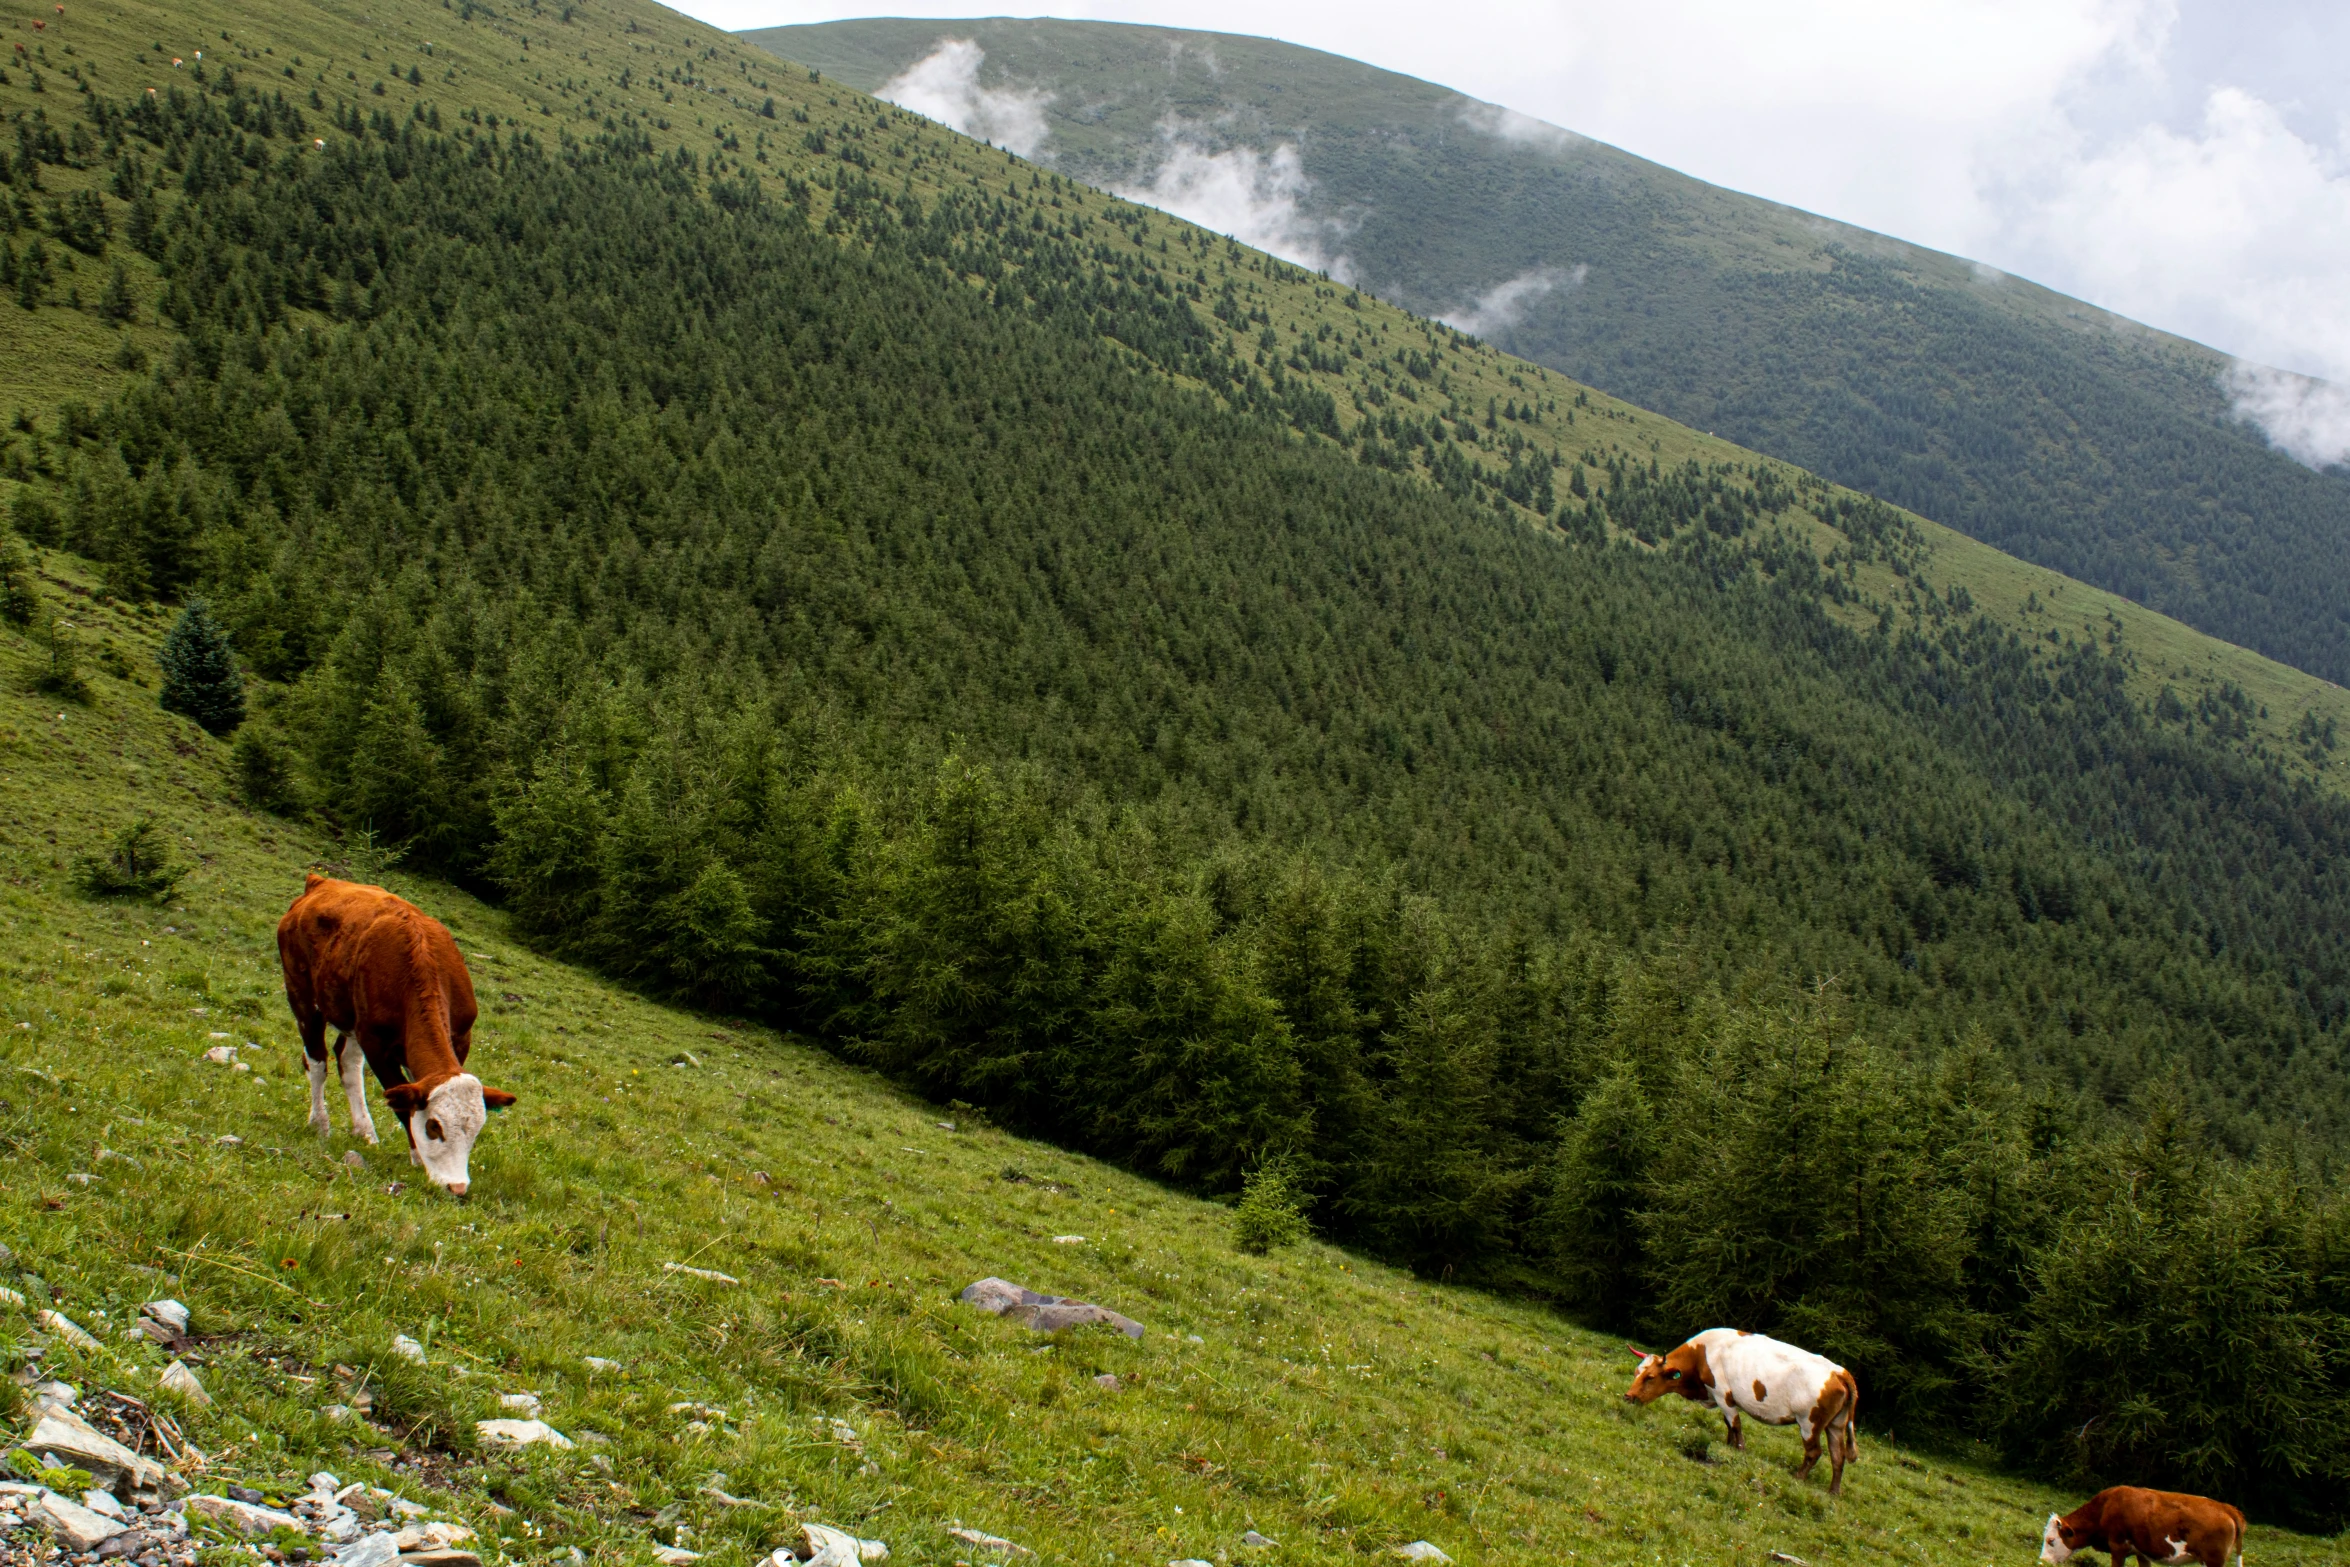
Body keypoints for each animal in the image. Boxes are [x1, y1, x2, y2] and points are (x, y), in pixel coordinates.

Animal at [274, 878, 514, 1193]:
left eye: (475, 1132)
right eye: (433, 1127)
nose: (458, 1187)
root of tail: (321, 881)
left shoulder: (460, 1037)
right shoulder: (376, 1043)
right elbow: (403, 1104)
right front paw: (417, 1158)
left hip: (351, 1017)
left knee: (347, 1063)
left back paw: (365, 1131)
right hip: (301, 994)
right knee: (317, 1062)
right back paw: (319, 1123)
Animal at [1626, 1334, 1861, 1503]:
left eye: (1650, 1377)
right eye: (1637, 1372)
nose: (1628, 1396)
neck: (1702, 1354)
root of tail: (1839, 1371)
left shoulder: (1722, 1394)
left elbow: (1735, 1425)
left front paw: (1738, 1450)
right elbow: (1728, 1425)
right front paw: (1728, 1446)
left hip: (1809, 1422)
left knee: (1814, 1452)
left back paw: (1798, 1478)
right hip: (1835, 1425)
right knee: (1837, 1456)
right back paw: (1833, 1492)